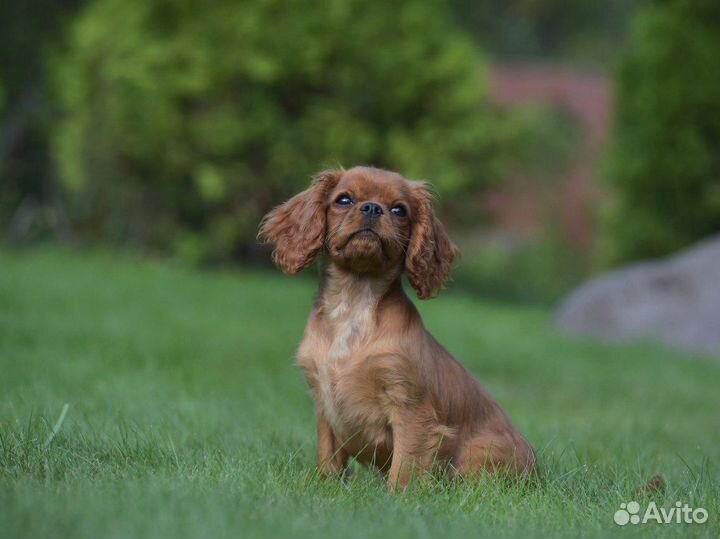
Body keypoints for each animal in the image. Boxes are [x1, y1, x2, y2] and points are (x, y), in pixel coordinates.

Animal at [258, 167, 536, 492]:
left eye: (399, 210)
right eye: (344, 199)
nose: (372, 208)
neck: (356, 300)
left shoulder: (411, 408)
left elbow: (405, 466)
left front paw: (395, 499)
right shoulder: (323, 404)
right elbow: (328, 458)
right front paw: (328, 488)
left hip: (478, 451)